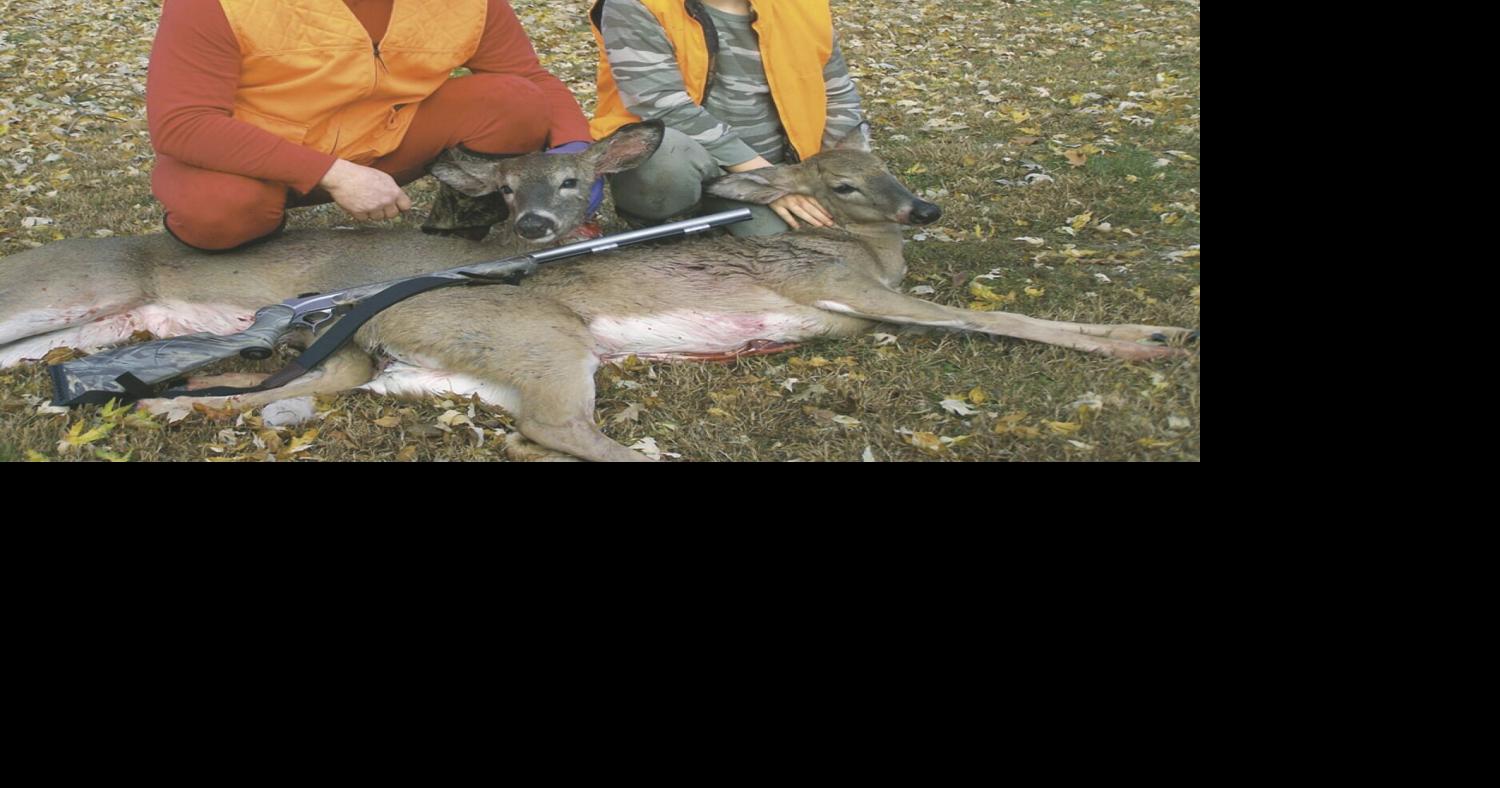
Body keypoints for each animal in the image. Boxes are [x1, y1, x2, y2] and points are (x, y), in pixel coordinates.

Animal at [0, 121, 1194, 461]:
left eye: (894, 165)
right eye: (849, 183)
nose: (926, 210)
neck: (866, 260)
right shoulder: (866, 299)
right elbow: (1003, 315)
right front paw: (1150, 336)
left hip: (434, 372)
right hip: (546, 343)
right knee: (563, 435)